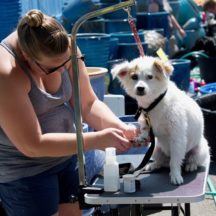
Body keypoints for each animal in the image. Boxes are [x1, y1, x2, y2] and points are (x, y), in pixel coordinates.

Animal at [112, 55, 210, 184]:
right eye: (134, 77)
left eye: (150, 76)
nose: (140, 88)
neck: (154, 103)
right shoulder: (145, 121)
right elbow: (144, 129)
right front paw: (142, 136)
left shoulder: (177, 137)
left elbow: (175, 162)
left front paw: (175, 175)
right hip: (155, 149)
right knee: (163, 162)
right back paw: (154, 165)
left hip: (201, 150)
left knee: (188, 160)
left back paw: (190, 165)